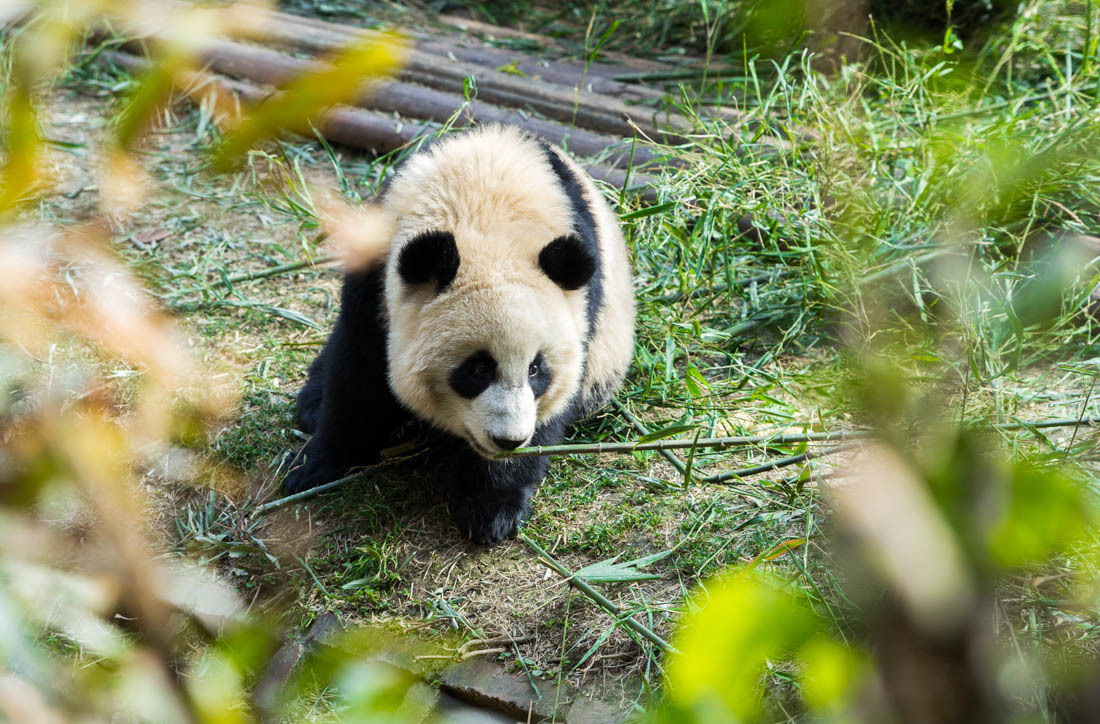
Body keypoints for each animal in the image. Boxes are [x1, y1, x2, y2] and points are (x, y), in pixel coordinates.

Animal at [283, 124, 638, 541]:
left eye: (536, 369)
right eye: (479, 369)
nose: (507, 440)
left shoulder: (580, 308)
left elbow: (553, 409)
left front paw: (492, 508)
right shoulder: (376, 275)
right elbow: (359, 373)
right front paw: (312, 468)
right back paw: (312, 404)